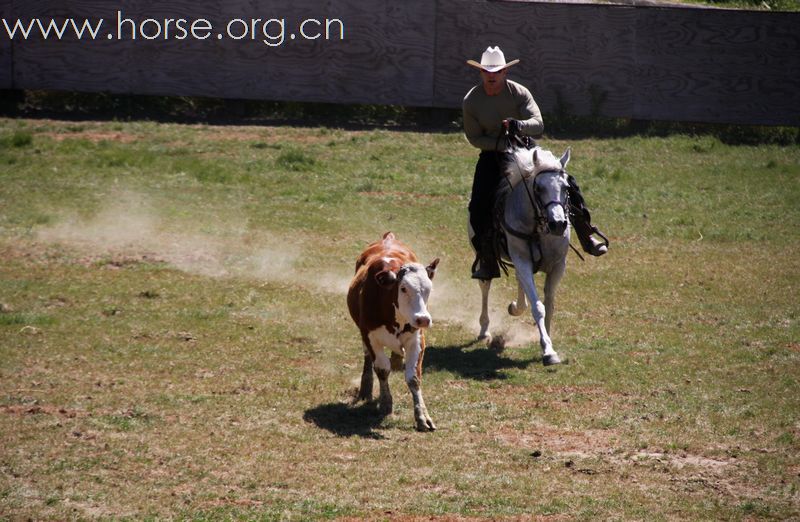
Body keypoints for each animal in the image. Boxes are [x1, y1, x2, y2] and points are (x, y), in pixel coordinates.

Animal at [346, 232, 440, 430]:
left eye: (428, 289)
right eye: (403, 288)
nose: (423, 319)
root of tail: (388, 237)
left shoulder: (417, 339)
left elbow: (413, 377)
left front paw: (422, 416)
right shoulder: (370, 336)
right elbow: (382, 369)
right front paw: (386, 403)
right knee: (368, 358)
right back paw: (366, 388)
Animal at [472, 144, 572, 364]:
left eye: (566, 188)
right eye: (538, 188)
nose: (558, 224)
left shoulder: (558, 266)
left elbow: (549, 305)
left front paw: (547, 340)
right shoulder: (522, 260)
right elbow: (538, 307)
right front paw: (548, 351)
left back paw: (515, 307)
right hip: (485, 259)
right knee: (485, 286)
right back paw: (484, 329)